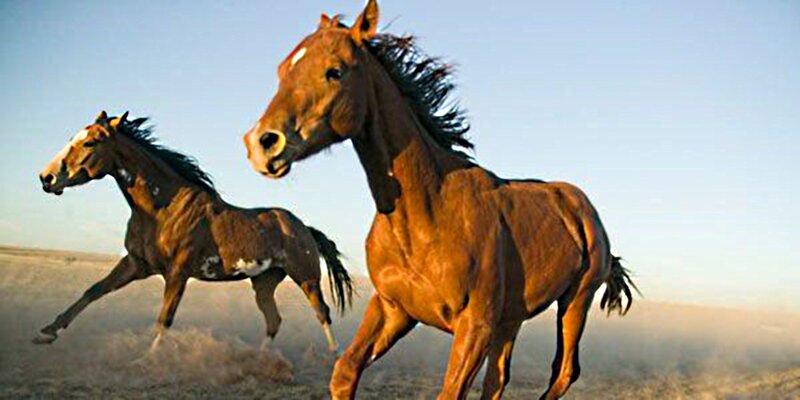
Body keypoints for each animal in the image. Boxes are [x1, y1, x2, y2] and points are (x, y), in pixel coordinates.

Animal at [36, 111, 353, 355]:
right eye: (72, 139)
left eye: (90, 142)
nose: (46, 177)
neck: (162, 208)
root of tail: (304, 228)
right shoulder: (136, 264)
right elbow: (93, 291)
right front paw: (46, 332)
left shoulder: (177, 272)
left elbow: (165, 318)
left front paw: (149, 359)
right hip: (264, 283)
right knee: (274, 320)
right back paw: (260, 359)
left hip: (306, 277)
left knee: (322, 312)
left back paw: (334, 358)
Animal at [243, 1, 637, 399]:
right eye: (283, 69)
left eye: (334, 71)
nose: (262, 143)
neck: (428, 211)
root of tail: (582, 207)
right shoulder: (394, 308)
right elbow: (345, 371)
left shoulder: (475, 326)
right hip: (510, 320)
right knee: (499, 380)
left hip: (575, 300)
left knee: (564, 371)